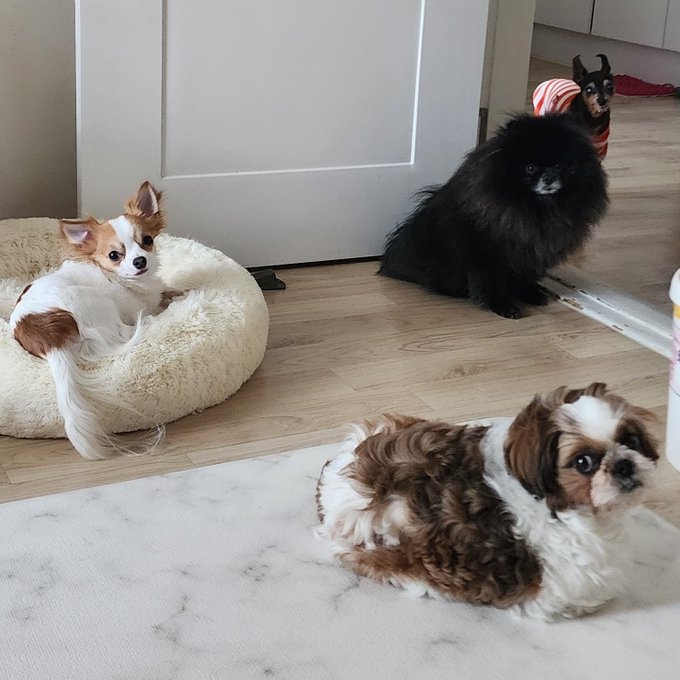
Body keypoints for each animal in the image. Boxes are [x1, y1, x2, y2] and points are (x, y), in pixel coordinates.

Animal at [10, 181, 180, 460]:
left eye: (147, 240)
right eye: (114, 255)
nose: (140, 260)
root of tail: (47, 337)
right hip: (98, 303)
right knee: (126, 331)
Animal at [379, 113, 608, 319]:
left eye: (559, 166)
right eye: (530, 167)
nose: (549, 177)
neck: (536, 207)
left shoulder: (530, 252)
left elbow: (524, 279)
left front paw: (531, 294)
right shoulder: (488, 254)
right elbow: (490, 283)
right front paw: (503, 306)